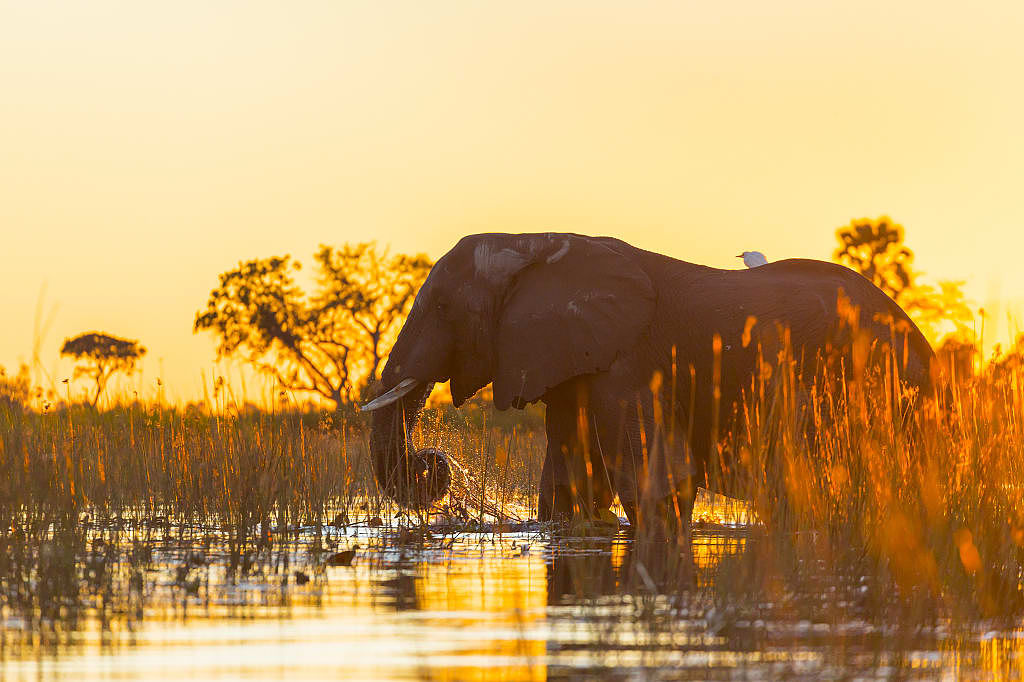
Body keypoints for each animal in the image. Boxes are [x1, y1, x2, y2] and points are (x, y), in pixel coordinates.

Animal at [361, 232, 934, 537]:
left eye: (442, 307)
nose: (434, 463)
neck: (535, 241)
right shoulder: (575, 360)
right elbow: (568, 486)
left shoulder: (627, 361)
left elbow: (656, 481)